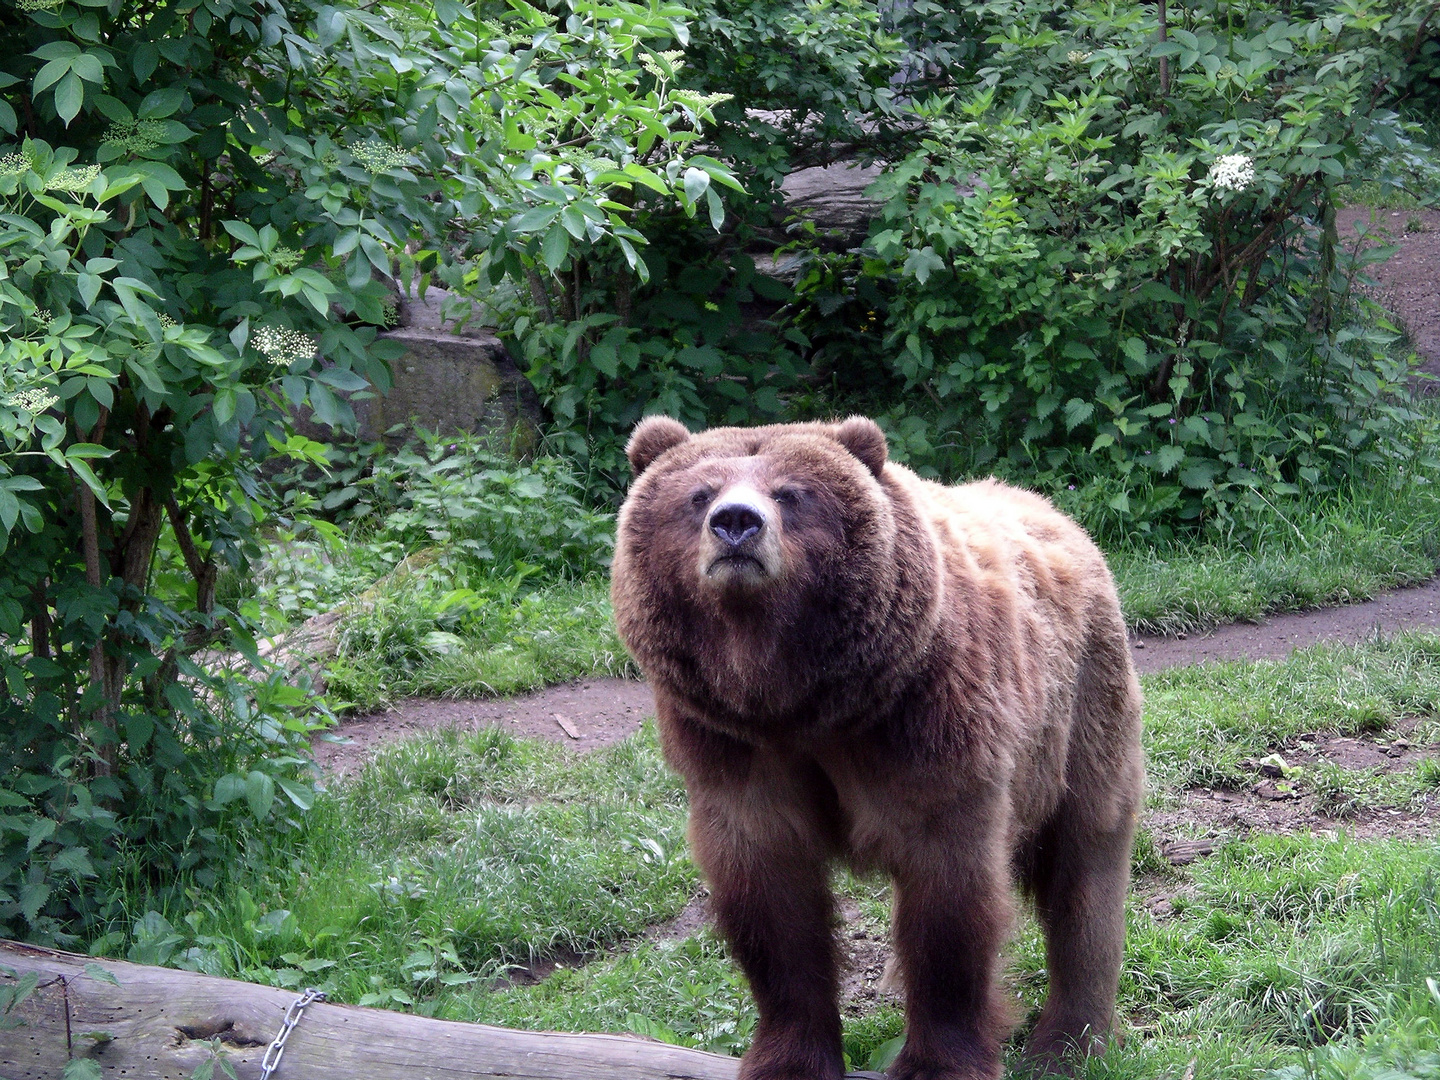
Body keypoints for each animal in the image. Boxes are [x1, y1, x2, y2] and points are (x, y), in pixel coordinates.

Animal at [610, 417, 1146, 1080]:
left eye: (791, 493)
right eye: (699, 494)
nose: (736, 521)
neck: (798, 701)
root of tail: (1051, 510)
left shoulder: (928, 727)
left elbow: (949, 902)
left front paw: (939, 1060)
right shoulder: (733, 752)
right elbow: (771, 905)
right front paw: (789, 1057)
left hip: (1080, 704)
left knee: (1087, 855)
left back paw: (1072, 1040)